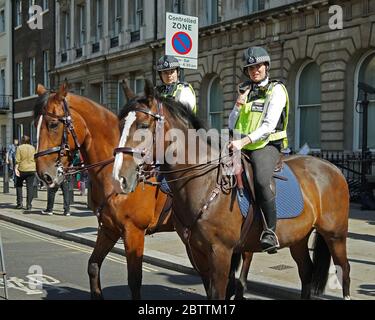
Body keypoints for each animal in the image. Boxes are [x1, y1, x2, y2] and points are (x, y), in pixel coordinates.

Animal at [34, 82, 175, 300]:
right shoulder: (108, 228)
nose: (44, 175)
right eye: (35, 124)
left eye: (53, 124)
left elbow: (135, 281)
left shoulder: (134, 232)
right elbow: (93, 265)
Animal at [114, 80, 352, 300]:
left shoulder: (221, 252)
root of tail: (333, 168)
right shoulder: (198, 252)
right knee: (306, 271)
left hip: (336, 235)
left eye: (143, 125)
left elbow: (220, 293)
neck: (204, 181)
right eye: (120, 124)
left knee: (345, 271)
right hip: (299, 237)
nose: (119, 177)